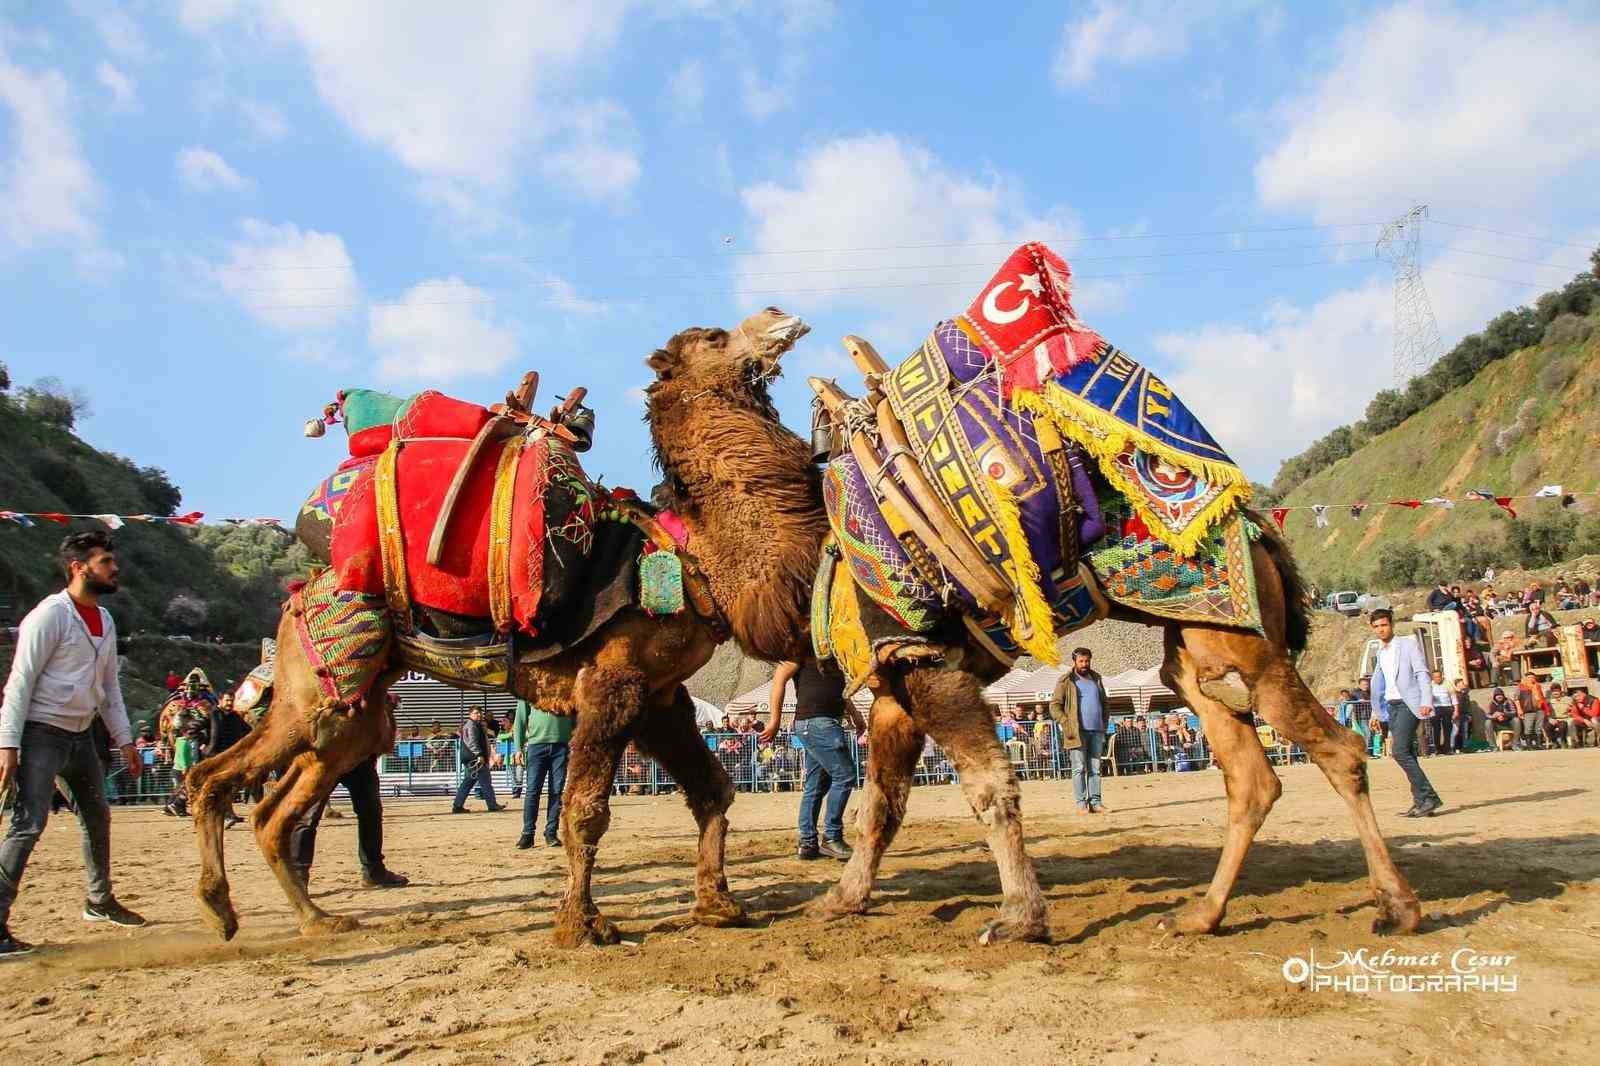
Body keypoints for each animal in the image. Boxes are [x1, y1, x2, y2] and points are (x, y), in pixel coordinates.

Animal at [188, 305, 832, 941]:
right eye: (715, 336)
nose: (780, 315)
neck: (697, 557)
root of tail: (301, 594)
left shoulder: (660, 696)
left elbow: (713, 790)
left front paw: (718, 905)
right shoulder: (613, 683)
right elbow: (585, 810)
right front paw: (581, 924)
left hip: (356, 710)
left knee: (276, 807)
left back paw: (316, 918)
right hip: (314, 687)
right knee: (212, 777)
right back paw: (223, 909)